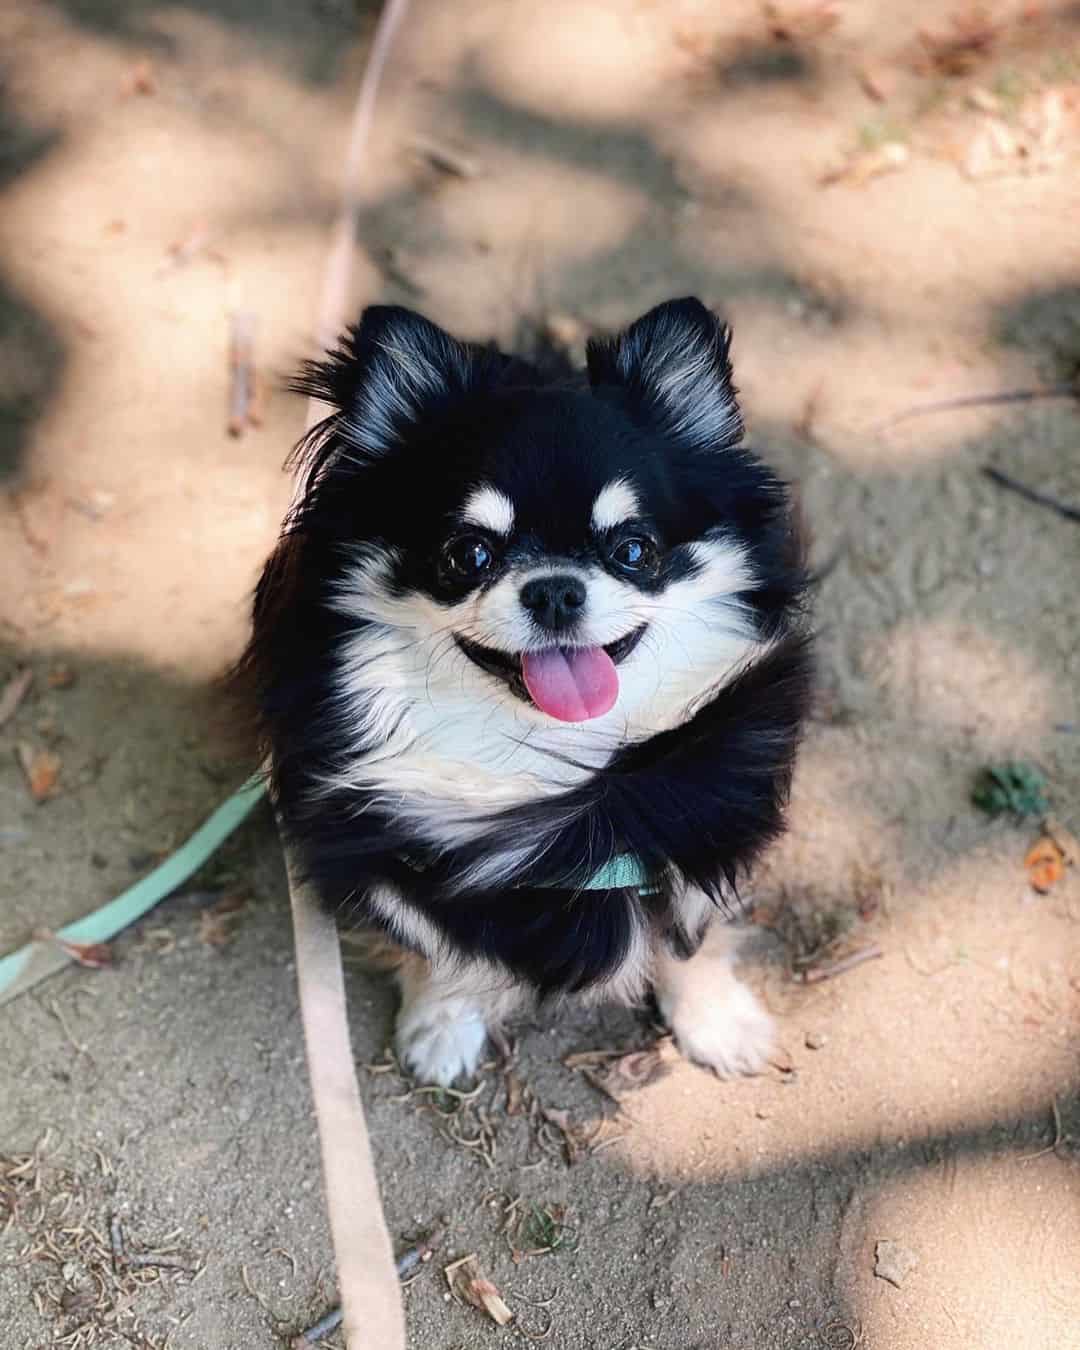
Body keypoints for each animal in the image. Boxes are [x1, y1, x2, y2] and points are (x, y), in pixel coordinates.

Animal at [238, 295, 810, 1085]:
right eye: (467, 555)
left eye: (634, 550)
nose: (555, 589)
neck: (556, 762)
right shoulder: (393, 850)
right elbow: (430, 941)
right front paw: (443, 1022)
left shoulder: (699, 822)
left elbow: (692, 931)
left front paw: (717, 1020)